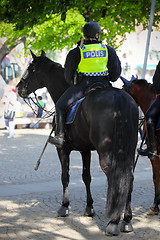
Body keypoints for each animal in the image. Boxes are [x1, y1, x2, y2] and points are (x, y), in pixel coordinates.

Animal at [16, 51, 138, 236]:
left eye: (31, 69)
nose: (18, 88)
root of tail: (118, 98)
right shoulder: (85, 150)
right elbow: (86, 177)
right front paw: (89, 207)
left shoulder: (63, 150)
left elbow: (65, 176)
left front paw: (64, 206)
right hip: (129, 150)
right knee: (128, 178)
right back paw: (127, 220)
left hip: (107, 151)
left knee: (115, 176)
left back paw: (114, 222)